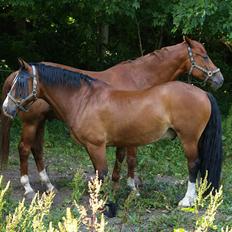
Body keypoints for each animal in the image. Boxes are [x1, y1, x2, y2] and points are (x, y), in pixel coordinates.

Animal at [0, 37, 224, 199]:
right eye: (203, 56)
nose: (219, 79)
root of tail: (203, 94)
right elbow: (124, 160)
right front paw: (126, 188)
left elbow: (124, 160)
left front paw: (124, 188)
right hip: (33, 122)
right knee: (26, 148)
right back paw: (30, 187)